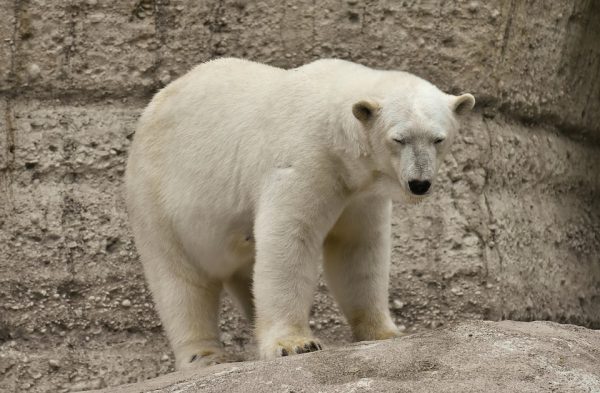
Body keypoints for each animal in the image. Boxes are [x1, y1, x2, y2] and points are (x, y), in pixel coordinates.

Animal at [125, 57, 474, 368]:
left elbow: (356, 250)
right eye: (398, 138)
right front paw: (295, 343)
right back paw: (205, 356)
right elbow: (290, 240)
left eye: (438, 139)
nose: (420, 184)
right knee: (179, 281)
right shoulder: (303, 161)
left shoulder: (359, 194)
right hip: (159, 201)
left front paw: (386, 332)